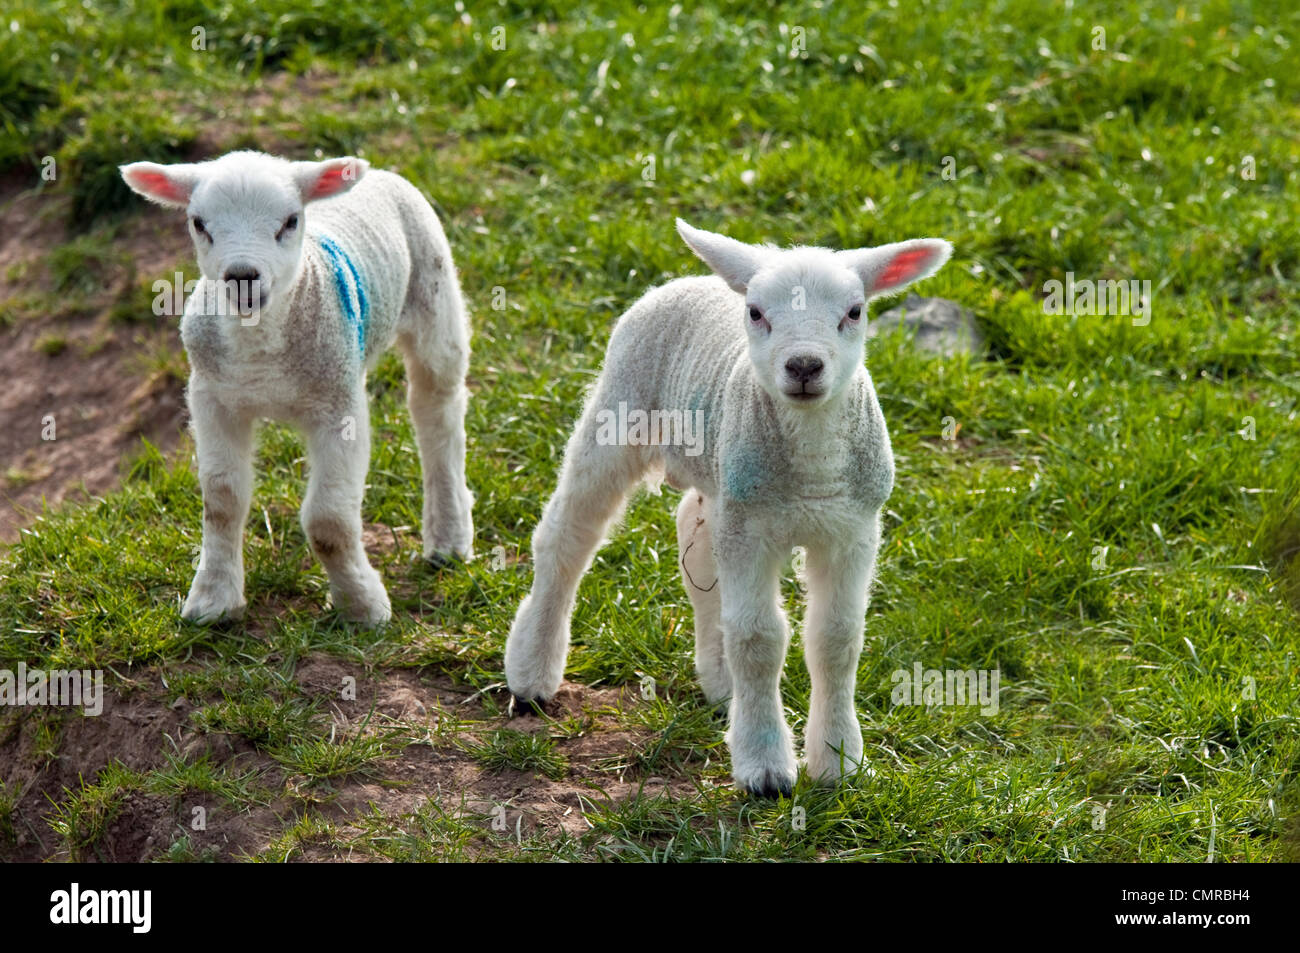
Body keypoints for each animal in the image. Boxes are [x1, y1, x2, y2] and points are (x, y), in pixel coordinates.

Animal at [119, 148, 475, 624]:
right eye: (199, 223)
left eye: (290, 221)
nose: (242, 276)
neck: (260, 349)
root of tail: (380, 173)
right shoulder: (212, 399)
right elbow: (222, 501)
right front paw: (213, 600)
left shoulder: (339, 407)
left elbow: (328, 521)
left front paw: (361, 605)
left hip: (433, 290)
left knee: (436, 410)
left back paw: (449, 537)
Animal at [501, 217, 951, 795]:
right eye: (756, 313)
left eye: (854, 312)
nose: (804, 365)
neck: (812, 468)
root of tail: (693, 279)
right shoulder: (750, 527)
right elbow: (759, 637)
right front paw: (765, 767)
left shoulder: (851, 528)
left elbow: (837, 638)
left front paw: (839, 763)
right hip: (618, 414)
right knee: (566, 538)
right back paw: (532, 673)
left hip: (718, 483)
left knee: (694, 548)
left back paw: (720, 683)